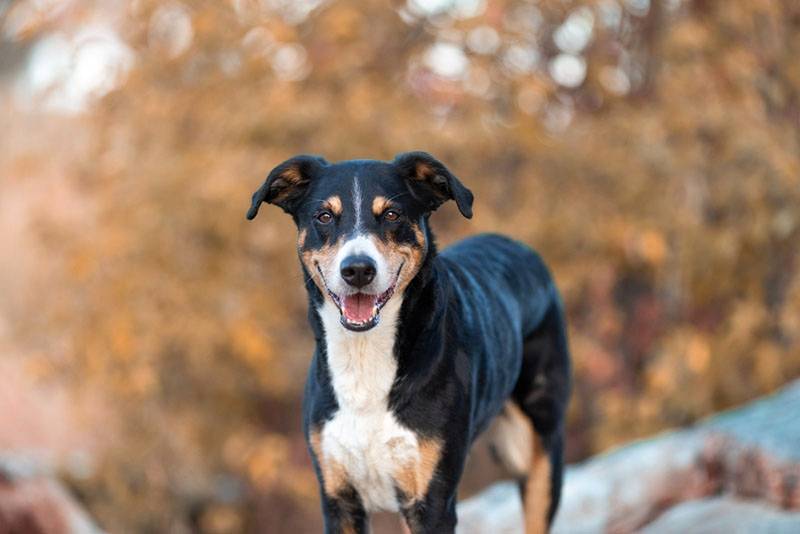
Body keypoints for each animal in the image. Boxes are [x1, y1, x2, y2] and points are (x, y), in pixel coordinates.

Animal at [247, 153, 572, 532]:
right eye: (324, 216)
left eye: (392, 214)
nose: (358, 270)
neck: (364, 357)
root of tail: (518, 246)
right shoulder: (339, 498)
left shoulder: (431, 502)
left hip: (539, 450)